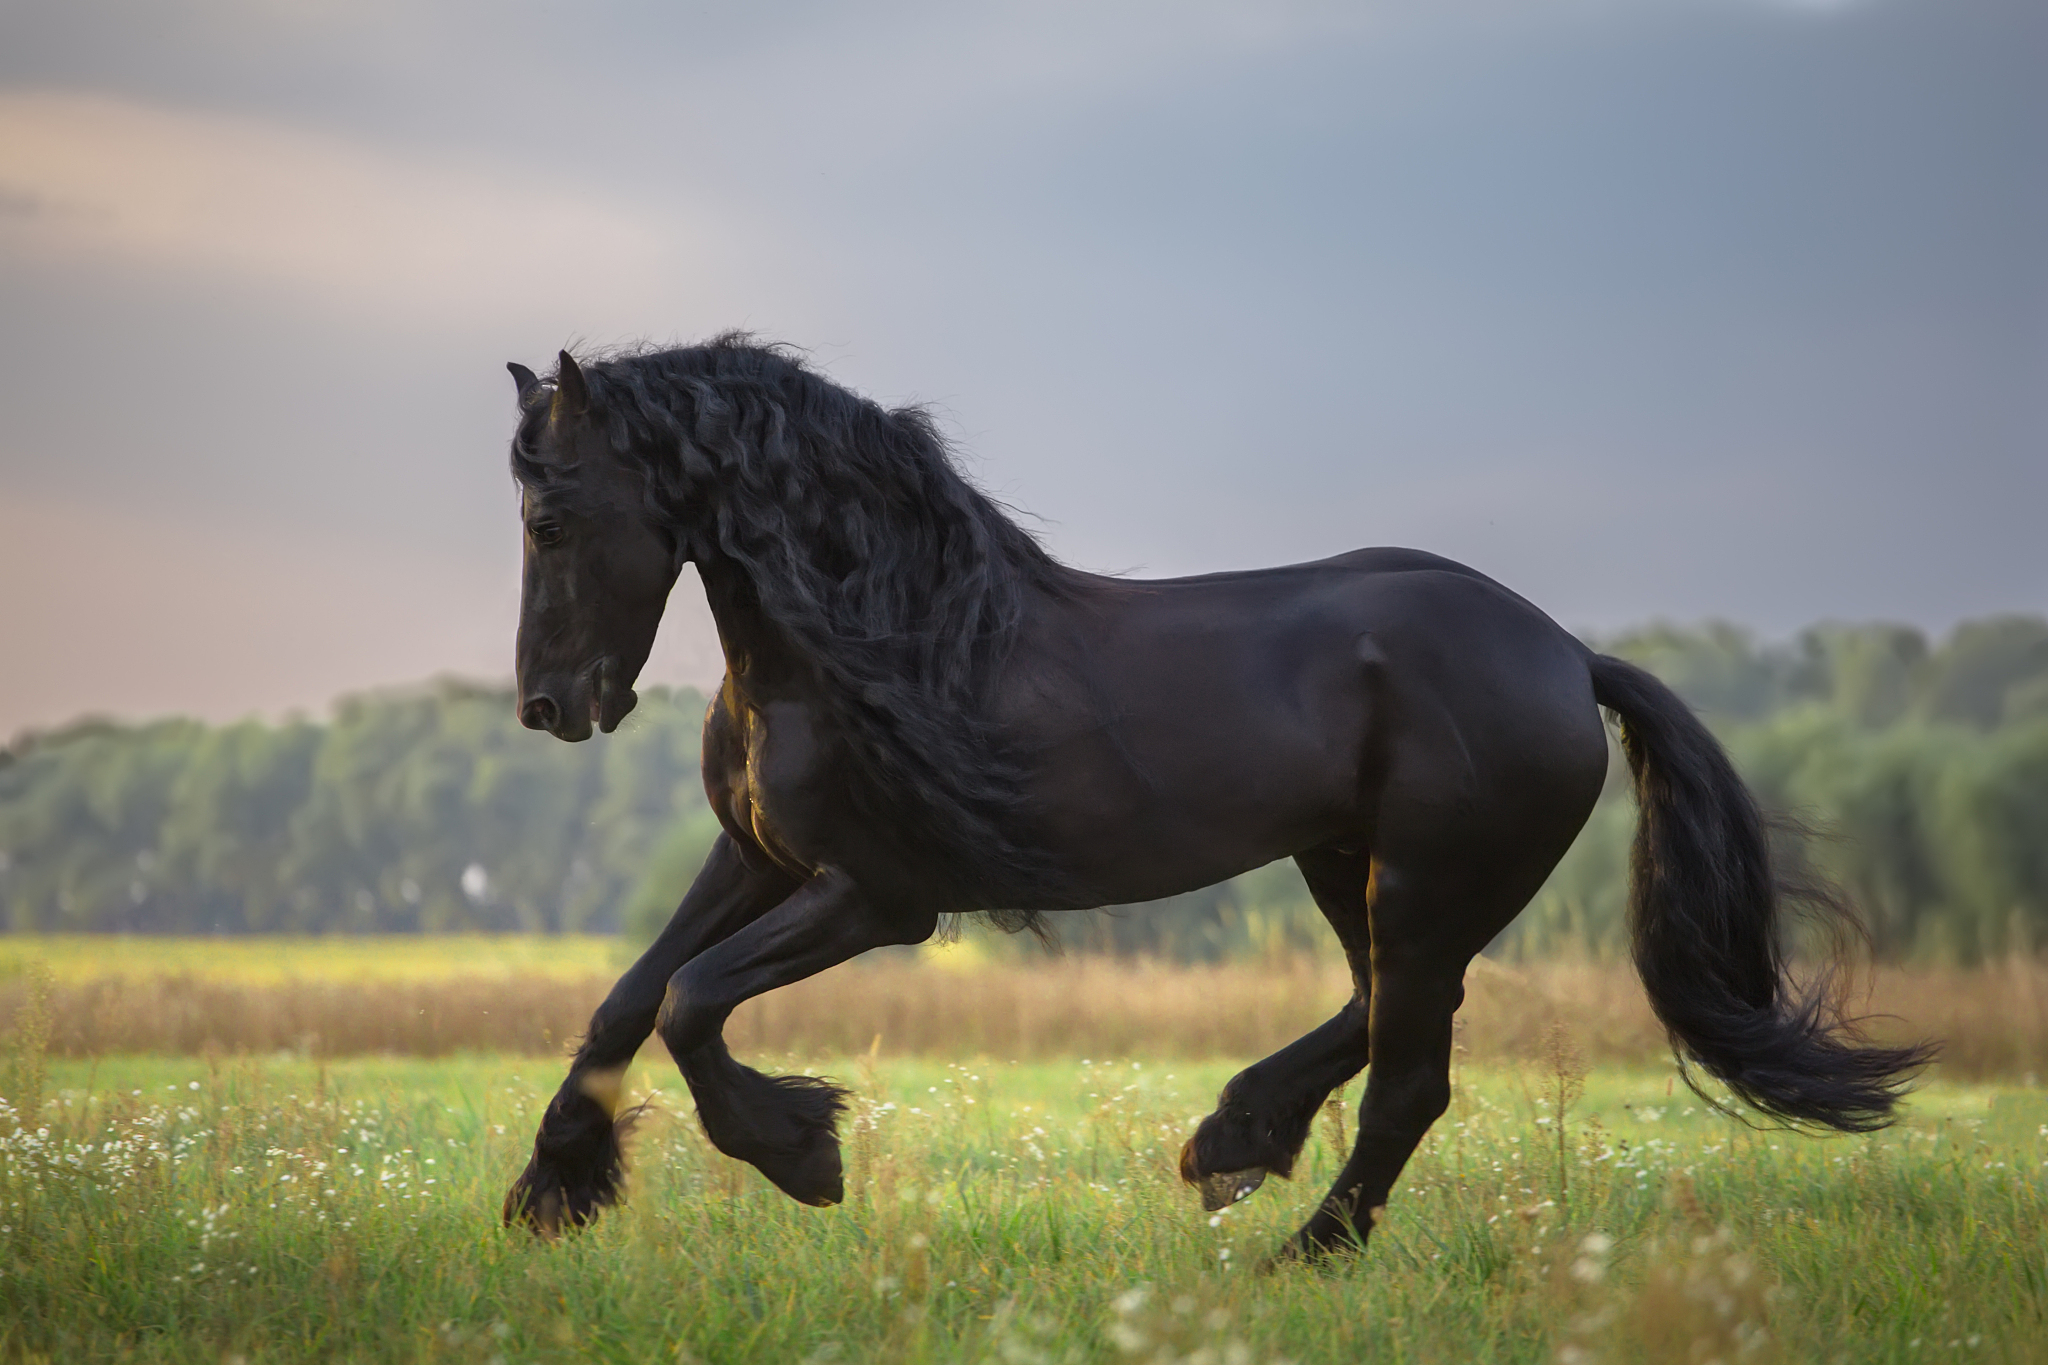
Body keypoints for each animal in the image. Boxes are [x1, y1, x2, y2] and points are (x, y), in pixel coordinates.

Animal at [497, 335, 1929, 1259]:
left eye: (551, 519)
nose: (549, 708)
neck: (864, 640)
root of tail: (1567, 657)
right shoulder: (758, 861)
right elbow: (628, 996)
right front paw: (551, 1188)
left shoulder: (878, 895)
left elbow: (690, 1001)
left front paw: (800, 1153)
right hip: (1346, 867)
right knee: (1376, 1016)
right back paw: (1233, 1140)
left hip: (1423, 883)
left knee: (1411, 1074)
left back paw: (1303, 1247)